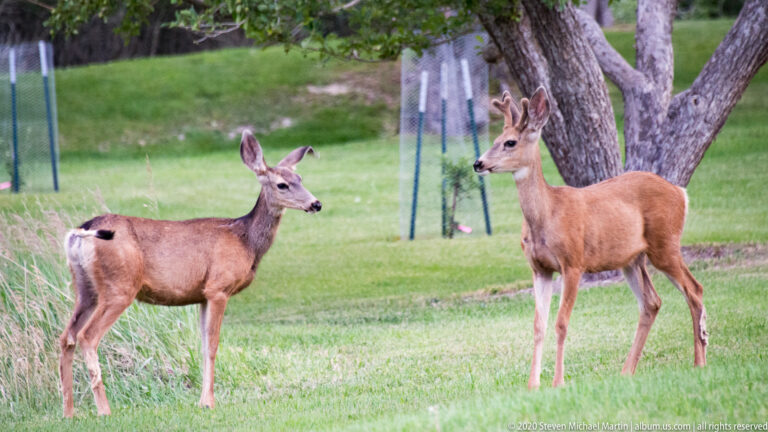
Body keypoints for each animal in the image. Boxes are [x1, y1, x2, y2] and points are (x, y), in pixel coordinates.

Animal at [58, 130, 322, 417]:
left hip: (85, 288)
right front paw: (209, 402)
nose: (316, 203)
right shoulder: (218, 287)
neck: (246, 240)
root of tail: (81, 231)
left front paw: (202, 401)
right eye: (282, 185)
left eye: (300, 179)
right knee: (87, 336)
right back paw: (104, 410)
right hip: (119, 286)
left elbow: (204, 345)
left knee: (66, 336)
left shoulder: (202, 295)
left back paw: (69, 413)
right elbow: (213, 345)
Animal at [473, 87, 708, 389]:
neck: (547, 214)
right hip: (632, 260)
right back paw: (627, 371)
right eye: (495, 140)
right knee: (652, 302)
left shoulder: (573, 262)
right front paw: (532, 384)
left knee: (694, 289)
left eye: (510, 142)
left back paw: (699, 361)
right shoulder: (539, 269)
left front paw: (557, 381)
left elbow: (561, 322)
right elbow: (539, 325)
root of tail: (681, 192)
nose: (478, 163)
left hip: (665, 243)